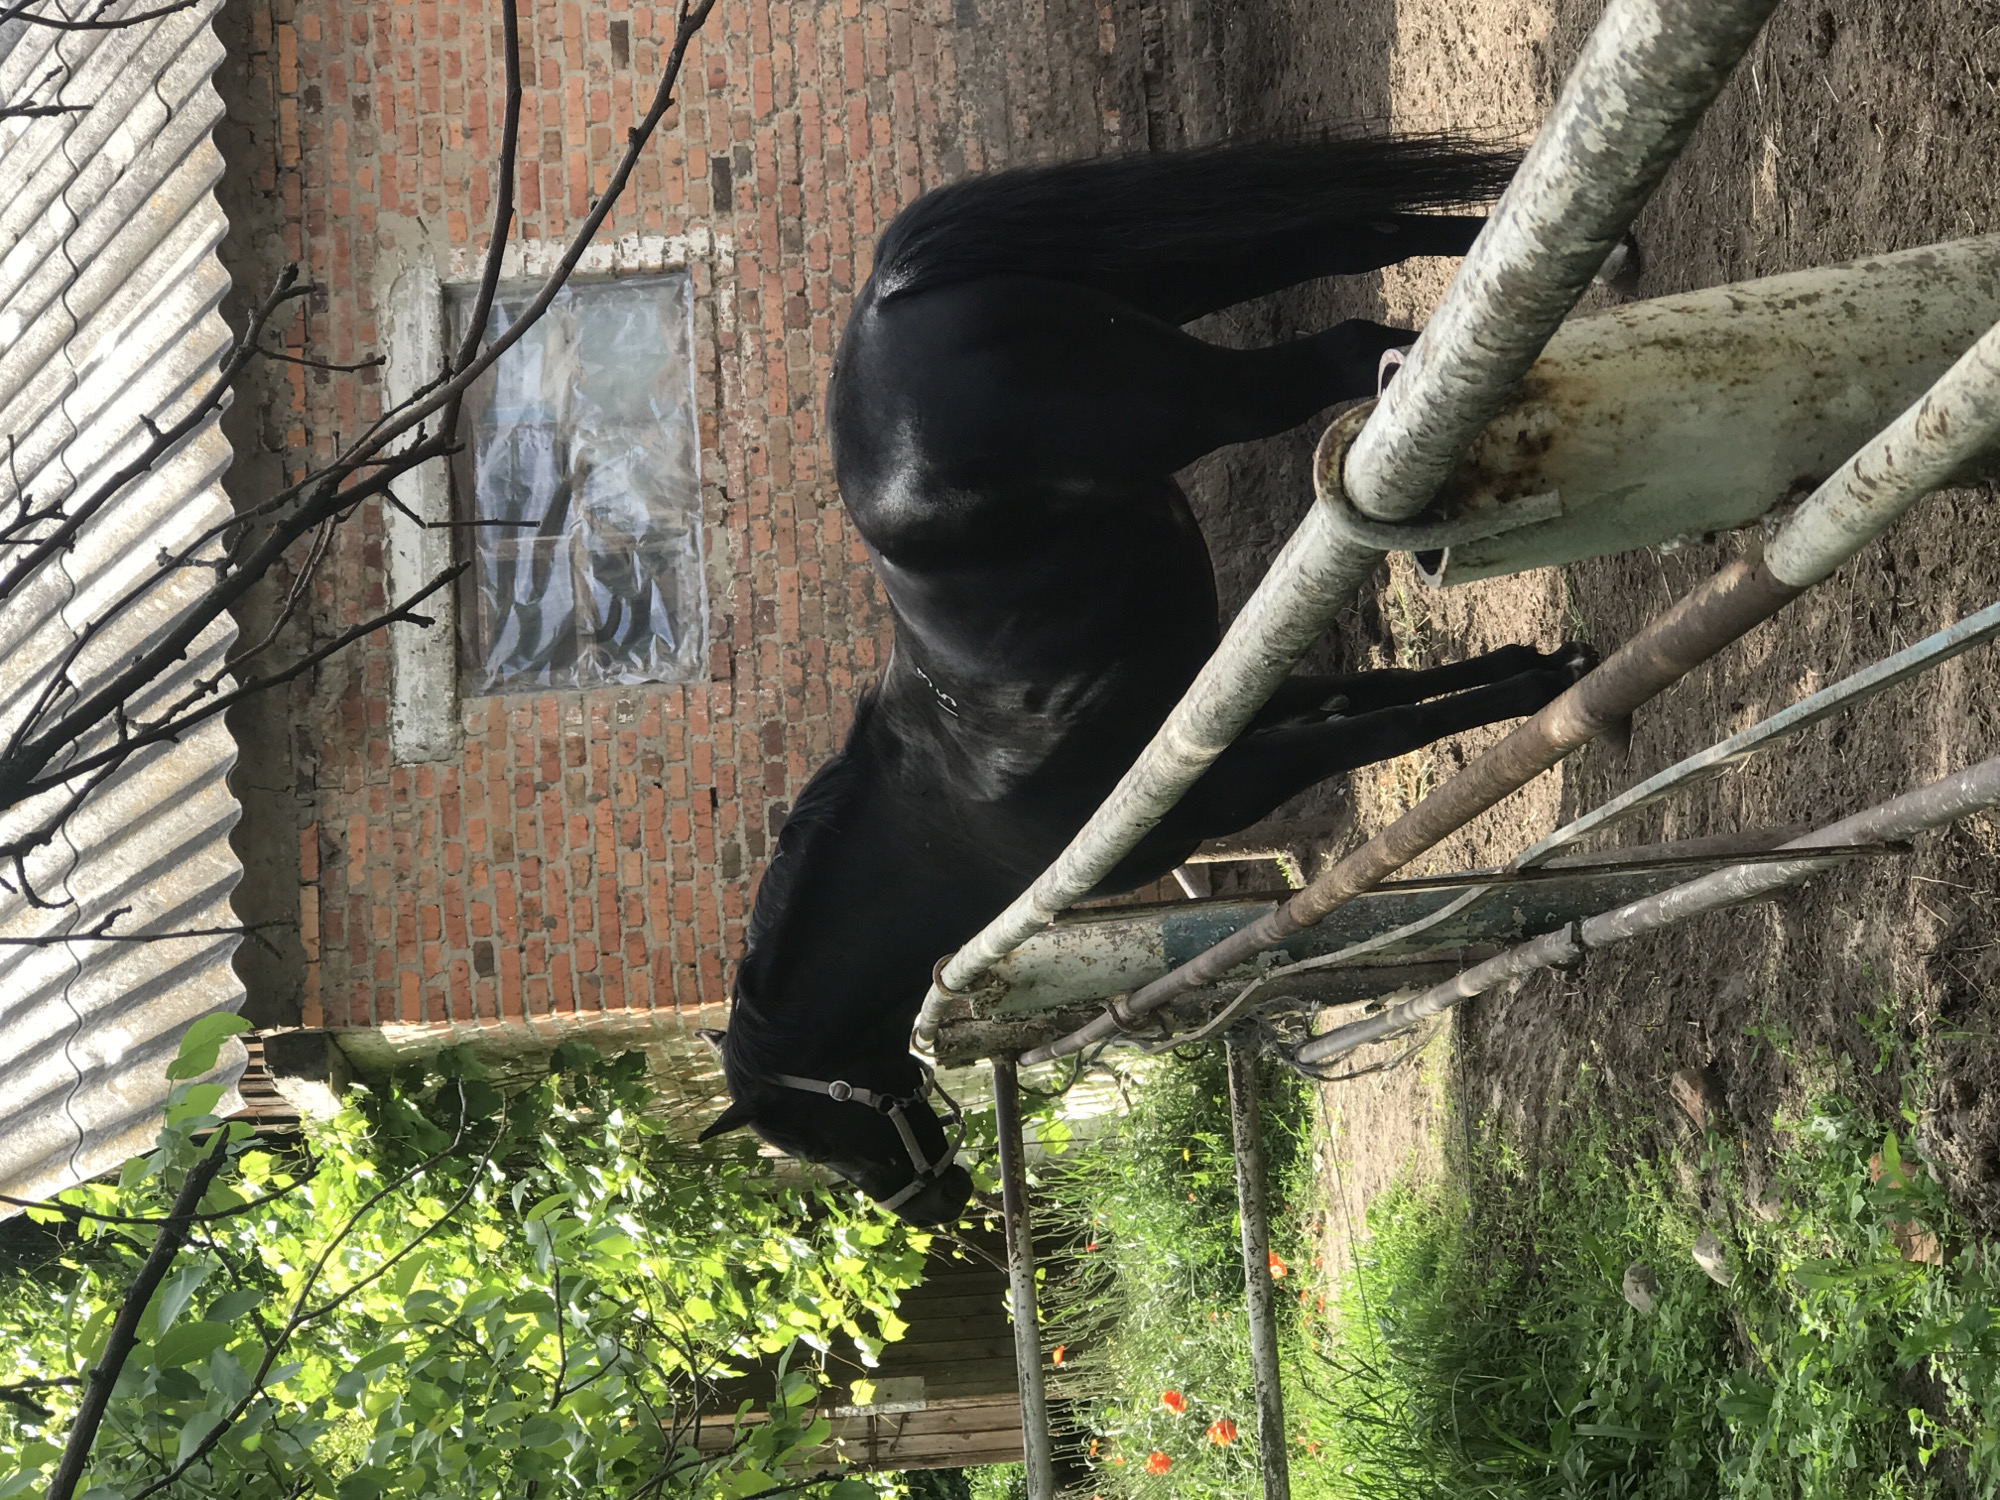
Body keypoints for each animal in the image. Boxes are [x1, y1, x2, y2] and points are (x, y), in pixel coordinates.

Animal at [696, 137, 1600, 1222]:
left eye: (816, 1130)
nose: (928, 1206)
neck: (946, 820)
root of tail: (884, 301)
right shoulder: (1245, 705)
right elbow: (1382, 701)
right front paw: (1535, 667)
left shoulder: (1231, 780)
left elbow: (1386, 734)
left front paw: (1552, 692)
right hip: (1173, 280)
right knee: (1353, 236)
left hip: (1205, 394)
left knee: (1342, 343)